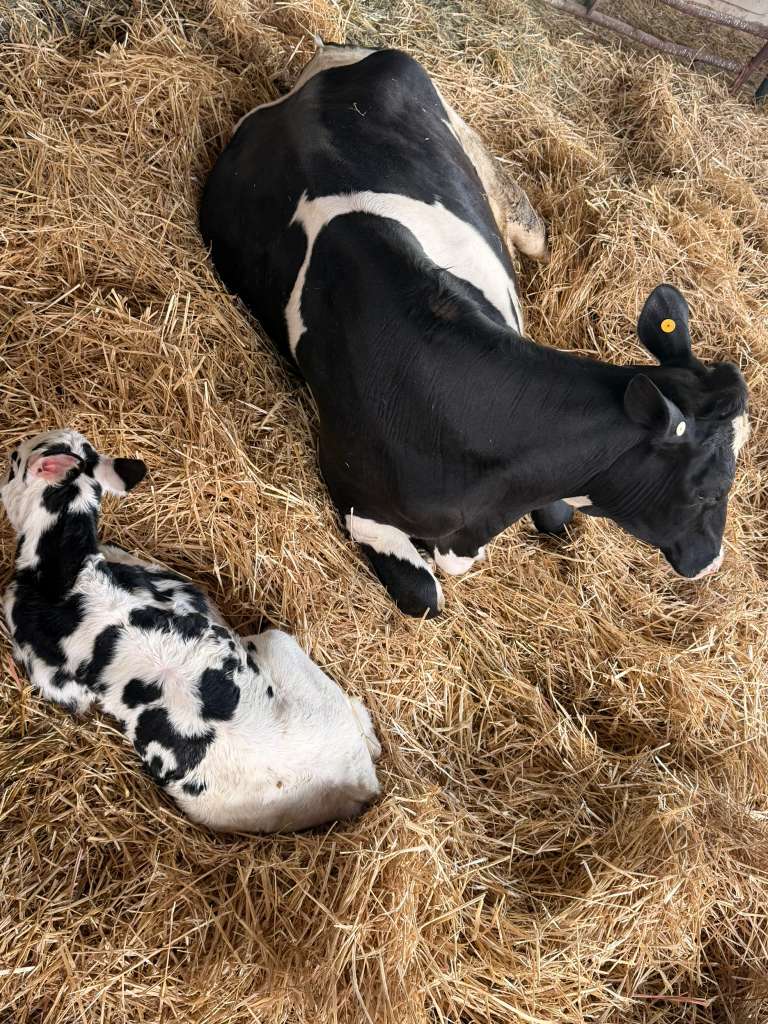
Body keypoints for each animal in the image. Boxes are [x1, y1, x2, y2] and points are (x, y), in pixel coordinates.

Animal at [1, 429, 381, 832]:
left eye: (13, 461)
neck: (67, 568)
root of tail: (359, 779)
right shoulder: (182, 588)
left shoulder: (46, 669)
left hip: (274, 641)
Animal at [199, 43, 749, 618]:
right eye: (712, 489)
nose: (710, 561)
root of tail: (341, 53)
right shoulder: (355, 499)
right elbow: (425, 596)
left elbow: (557, 518)